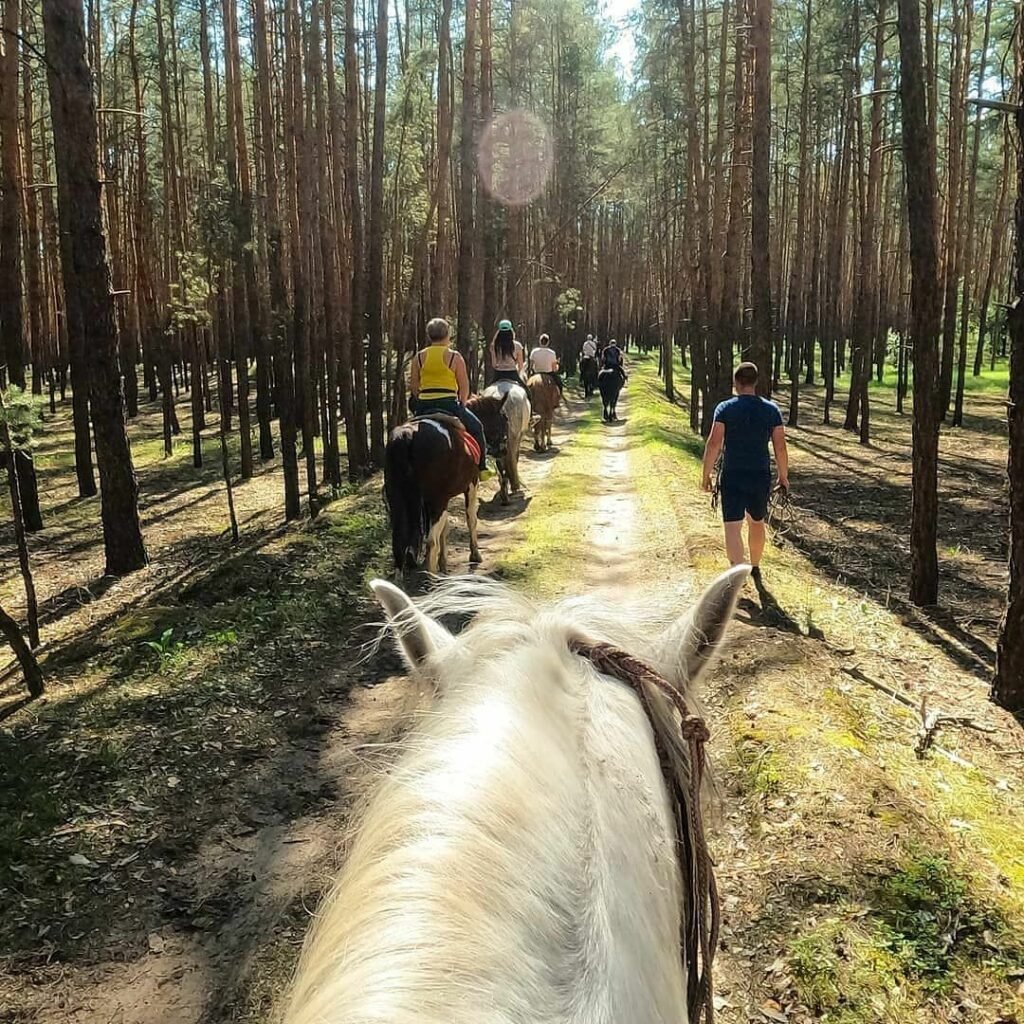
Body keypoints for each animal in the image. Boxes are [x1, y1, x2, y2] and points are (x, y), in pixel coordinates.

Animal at [382, 401, 497, 577]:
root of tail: (407, 436)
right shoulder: (471, 485)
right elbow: (471, 518)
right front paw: (475, 555)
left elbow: (445, 526)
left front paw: (443, 563)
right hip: (438, 499)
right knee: (431, 541)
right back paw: (432, 576)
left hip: (397, 497)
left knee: (399, 541)